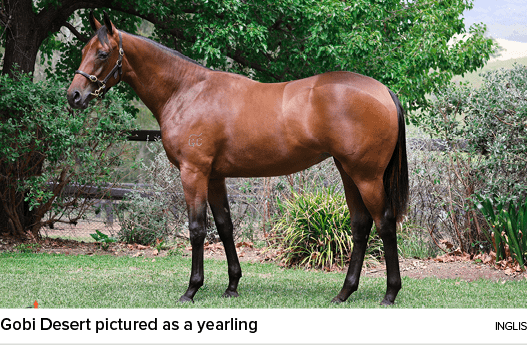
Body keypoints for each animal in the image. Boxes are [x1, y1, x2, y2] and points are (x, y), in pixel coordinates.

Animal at [67, 10, 412, 306]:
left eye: (102, 53)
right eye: (84, 49)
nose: (74, 96)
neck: (187, 91)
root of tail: (384, 91)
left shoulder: (193, 172)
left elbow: (197, 228)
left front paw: (191, 289)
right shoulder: (215, 176)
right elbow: (225, 226)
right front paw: (232, 286)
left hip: (366, 176)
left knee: (385, 223)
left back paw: (389, 293)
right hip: (348, 172)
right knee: (360, 225)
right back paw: (344, 292)